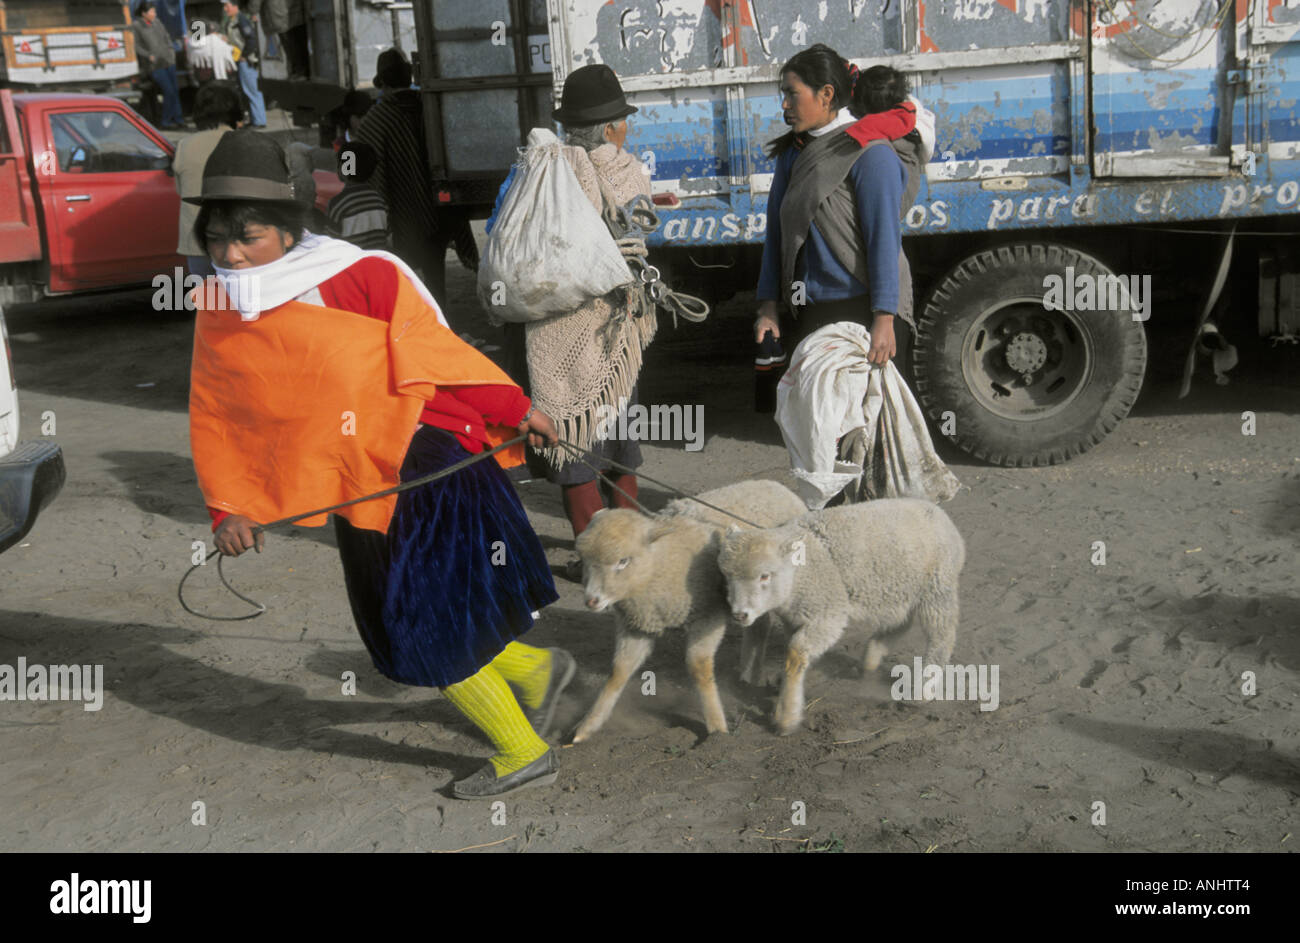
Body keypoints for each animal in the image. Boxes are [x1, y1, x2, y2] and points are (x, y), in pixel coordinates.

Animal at [574, 478, 806, 743]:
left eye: (623, 561)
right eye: (584, 560)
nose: (591, 601)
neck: (661, 564)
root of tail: (775, 484)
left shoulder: (707, 615)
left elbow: (699, 667)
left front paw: (717, 729)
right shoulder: (637, 624)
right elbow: (618, 672)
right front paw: (587, 726)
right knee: (759, 626)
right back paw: (748, 676)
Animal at [722, 499, 967, 733]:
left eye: (765, 576)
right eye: (727, 575)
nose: (739, 615)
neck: (799, 572)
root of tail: (937, 512)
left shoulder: (827, 612)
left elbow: (795, 653)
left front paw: (786, 717)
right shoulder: (795, 616)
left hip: (938, 586)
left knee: (942, 636)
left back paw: (923, 689)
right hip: (899, 591)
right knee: (900, 624)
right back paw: (870, 660)